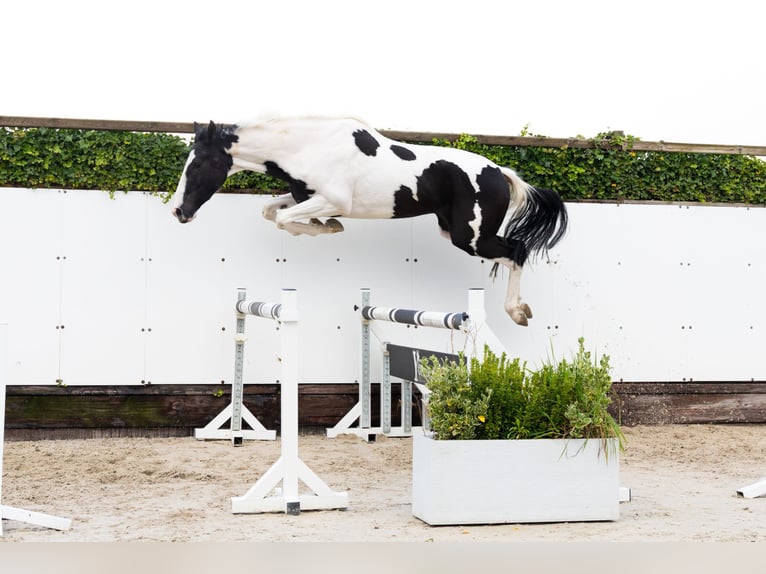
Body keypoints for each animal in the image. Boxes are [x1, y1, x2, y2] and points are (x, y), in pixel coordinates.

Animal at [170, 116, 568, 325]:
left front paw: (327, 227)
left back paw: (517, 311)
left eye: (199, 164)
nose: (179, 212)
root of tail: (501, 172)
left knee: (517, 250)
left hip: (470, 237)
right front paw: (325, 227)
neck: (307, 148)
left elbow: (282, 217)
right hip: (453, 231)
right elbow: (272, 212)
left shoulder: (332, 199)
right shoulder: (307, 197)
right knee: (514, 252)